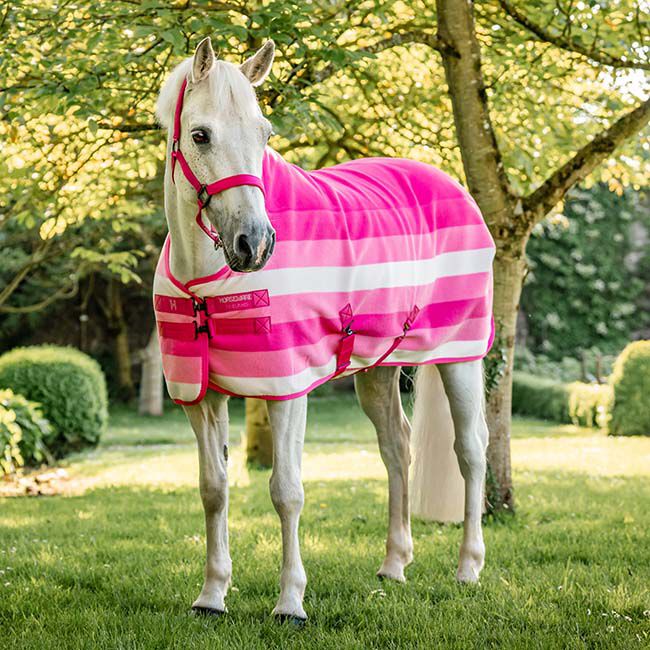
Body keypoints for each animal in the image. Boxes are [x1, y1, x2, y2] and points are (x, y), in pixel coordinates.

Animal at [154, 37, 494, 623]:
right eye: (200, 135)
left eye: (265, 133)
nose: (255, 243)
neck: (206, 283)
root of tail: (453, 184)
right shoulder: (200, 396)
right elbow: (213, 489)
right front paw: (212, 595)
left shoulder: (286, 387)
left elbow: (286, 491)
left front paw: (290, 602)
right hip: (378, 369)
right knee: (397, 448)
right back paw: (394, 564)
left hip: (461, 356)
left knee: (471, 449)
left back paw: (468, 567)